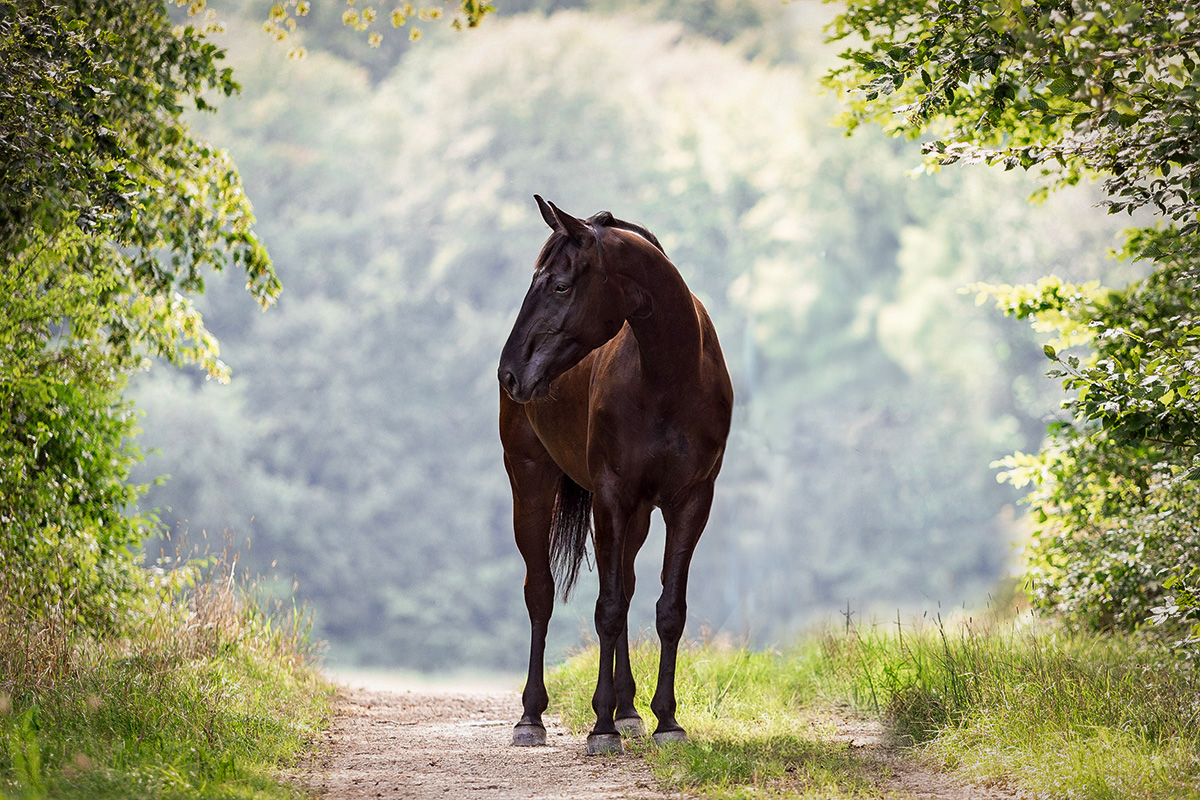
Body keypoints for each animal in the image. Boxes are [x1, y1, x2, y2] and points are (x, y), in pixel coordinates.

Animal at [494, 196, 729, 753]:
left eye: (560, 285)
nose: (509, 371)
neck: (670, 379)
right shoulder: (610, 496)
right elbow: (606, 608)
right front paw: (600, 727)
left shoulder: (692, 502)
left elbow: (667, 609)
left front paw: (666, 720)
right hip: (531, 484)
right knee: (540, 592)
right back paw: (532, 717)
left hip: (638, 515)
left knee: (626, 584)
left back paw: (629, 711)